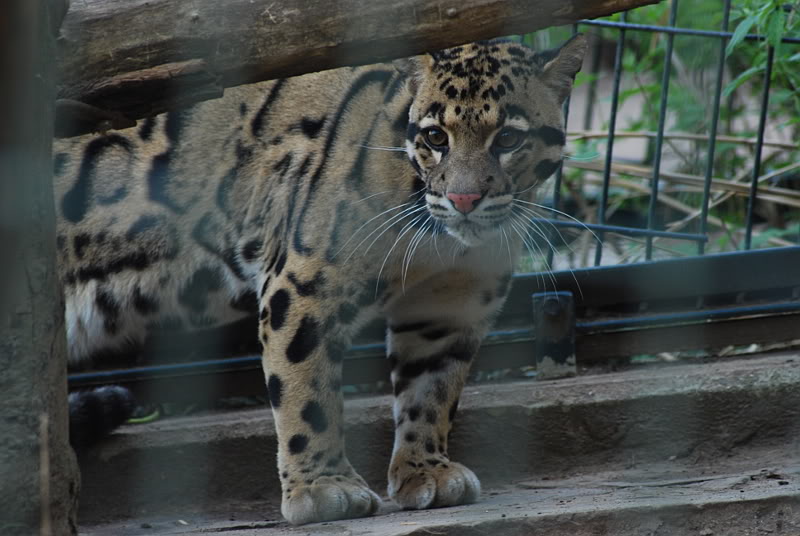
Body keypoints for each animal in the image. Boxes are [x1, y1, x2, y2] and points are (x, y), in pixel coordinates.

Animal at [55, 35, 586, 525]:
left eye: (509, 140)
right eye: (436, 138)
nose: (463, 200)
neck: (442, 241)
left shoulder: (448, 307)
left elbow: (433, 393)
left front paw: (425, 470)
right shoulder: (303, 285)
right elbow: (306, 391)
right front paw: (323, 488)